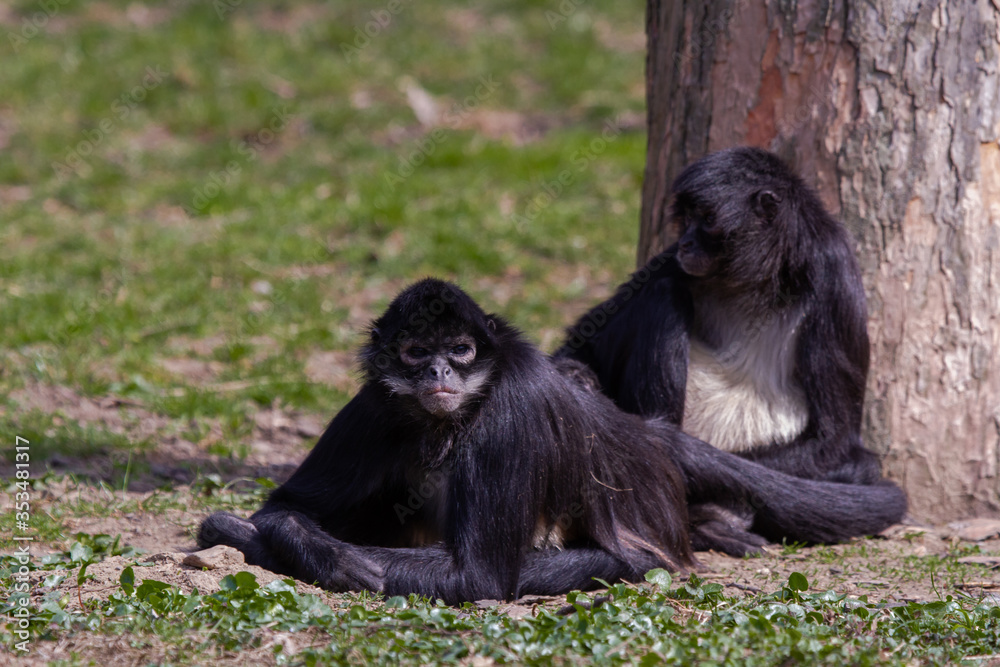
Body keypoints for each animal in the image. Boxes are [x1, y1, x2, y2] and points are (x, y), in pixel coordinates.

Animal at [200, 278, 906, 602]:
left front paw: (296, 549)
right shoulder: (378, 404)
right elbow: (284, 507)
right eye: (415, 352)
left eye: (460, 350)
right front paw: (312, 546)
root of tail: (644, 438)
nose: (439, 374)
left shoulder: (511, 406)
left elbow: (481, 576)